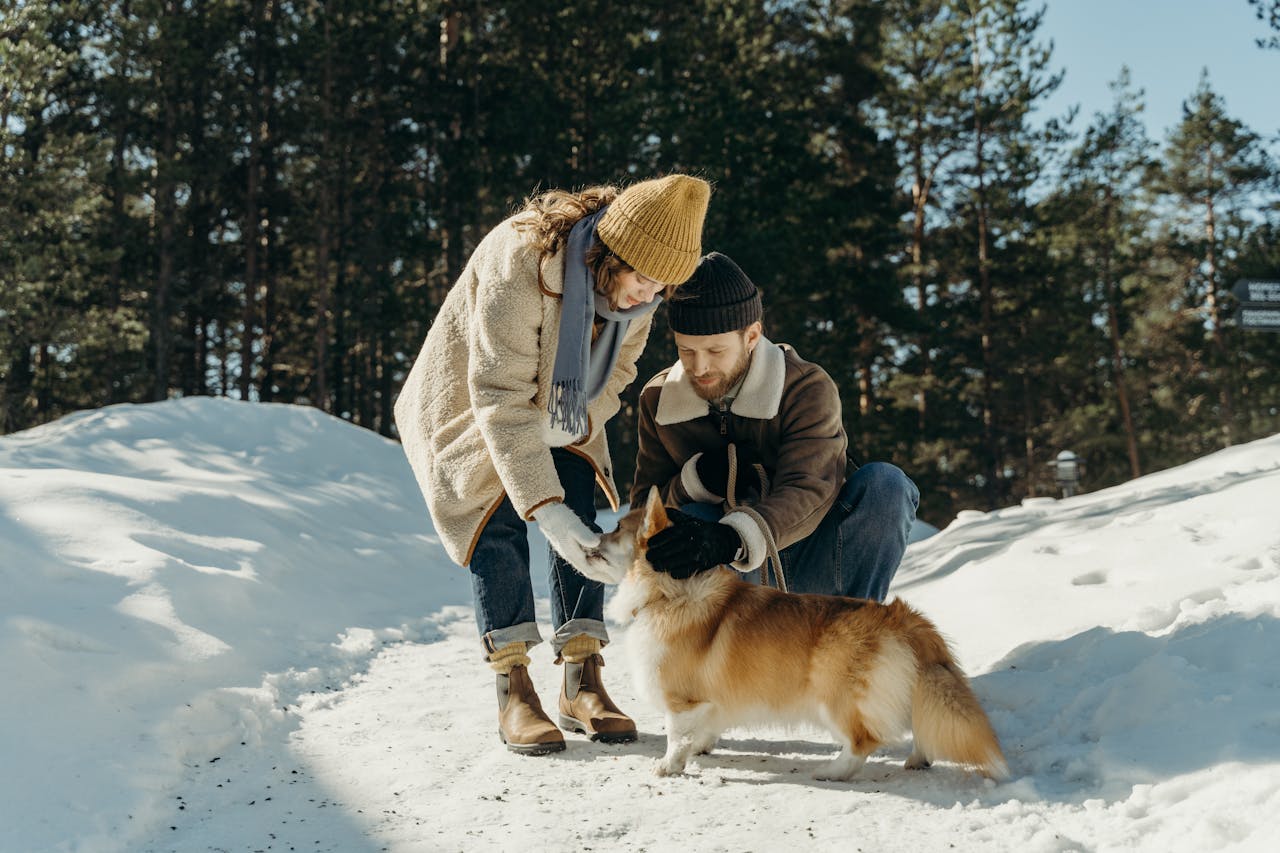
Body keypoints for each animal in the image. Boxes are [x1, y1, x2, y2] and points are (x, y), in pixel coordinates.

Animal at [586, 489, 1003, 778]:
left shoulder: (681, 701)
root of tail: (905, 619)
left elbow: (676, 737)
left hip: (836, 698)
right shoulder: (707, 703)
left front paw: (668, 766)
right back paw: (919, 758)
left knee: (864, 741)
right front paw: (700, 749)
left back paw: (831, 772)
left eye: (617, 529)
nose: (590, 539)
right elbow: (702, 731)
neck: (667, 591)